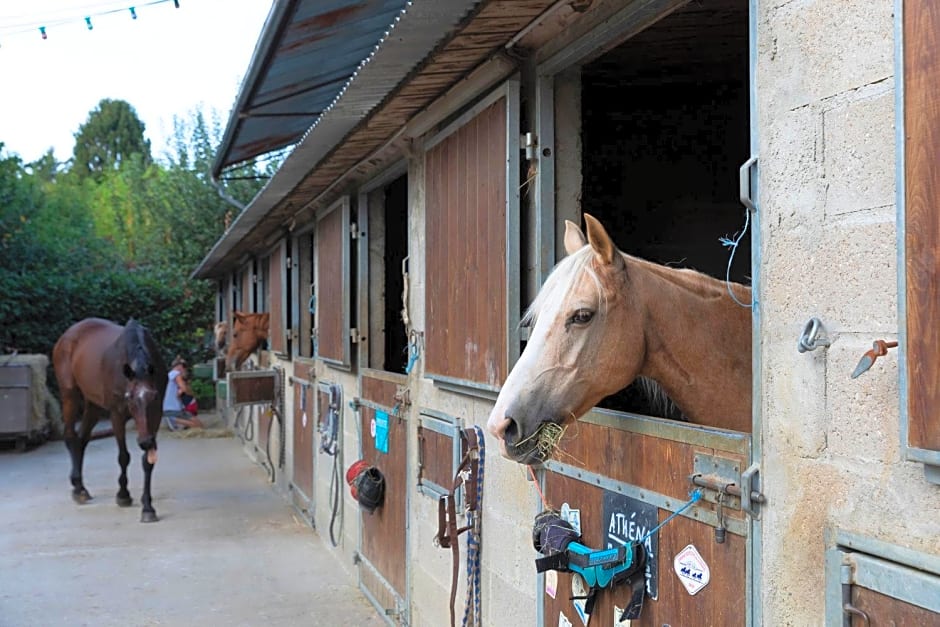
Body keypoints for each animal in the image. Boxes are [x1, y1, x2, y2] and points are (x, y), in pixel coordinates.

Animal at [51, 318, 166, 520]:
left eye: (154, 397)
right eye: (130, 399)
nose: (145, 441)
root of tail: (68, 334)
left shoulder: (155, 416)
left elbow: (148, 461)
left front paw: (147, 507)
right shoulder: (116, 414)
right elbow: (123, 457)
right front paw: (123, 495)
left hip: (93, 405)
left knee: (82, 439)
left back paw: (80, 486)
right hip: (70, 395)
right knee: (71, 436)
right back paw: (79, 489)